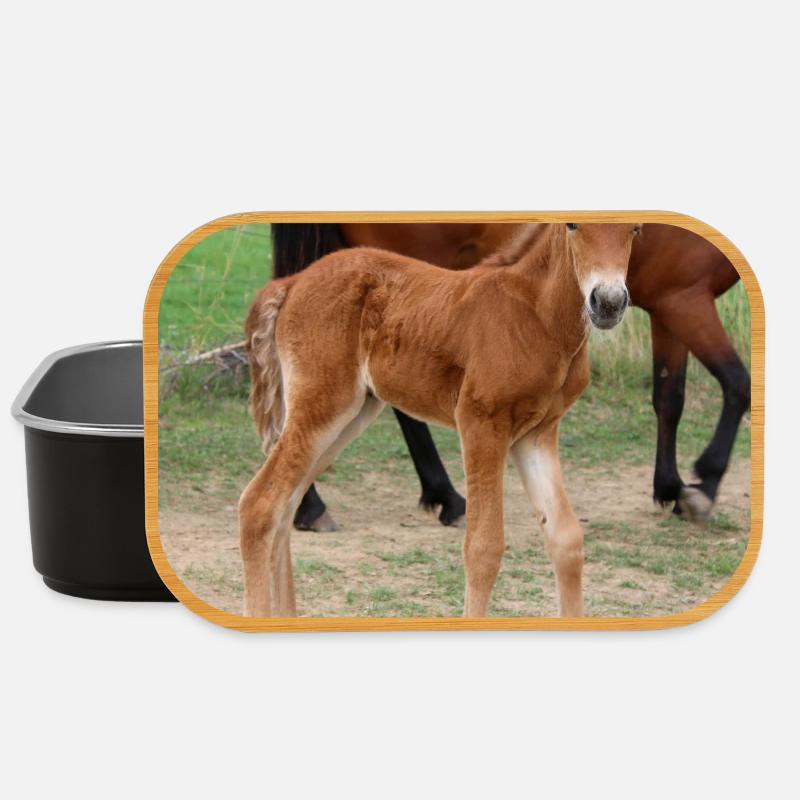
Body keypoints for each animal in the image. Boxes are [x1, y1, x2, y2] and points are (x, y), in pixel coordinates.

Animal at [240, 222, 639, 617]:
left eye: (635, 229)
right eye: (572, 225)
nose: (608, 302)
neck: (535, 315)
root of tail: (291, 283)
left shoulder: (536, 434)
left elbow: (565, 538)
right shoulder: (481, 422)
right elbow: (483, 547)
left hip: (351, 414)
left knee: (285, 504)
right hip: (322, 406)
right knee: (260, 503)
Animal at [272, 221, 750, 527]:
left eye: (635, 230)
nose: (608, 303)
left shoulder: (669, 305)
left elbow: (669, 396)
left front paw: (670, 487)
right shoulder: (685, 298)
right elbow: (738, 384)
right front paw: (703, 486)